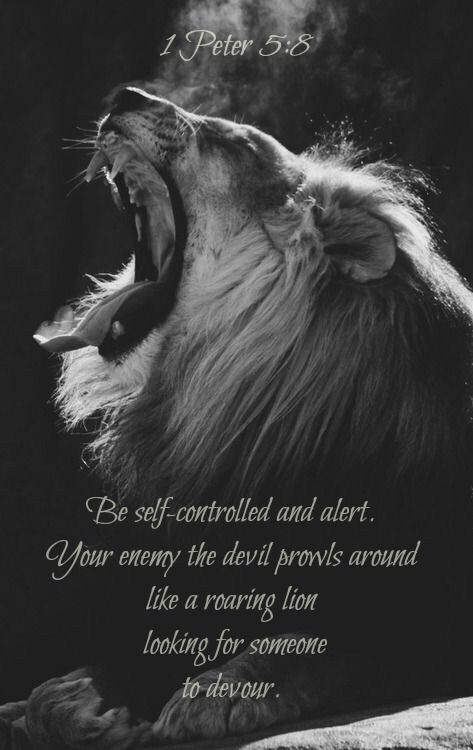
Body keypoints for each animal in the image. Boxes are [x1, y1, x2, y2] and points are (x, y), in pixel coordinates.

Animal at [13, 85, 473, 747]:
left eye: (233, 142)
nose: (125, 95)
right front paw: (72, 694)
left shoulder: (429, 614)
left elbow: (330, 646)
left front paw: (222, 690)